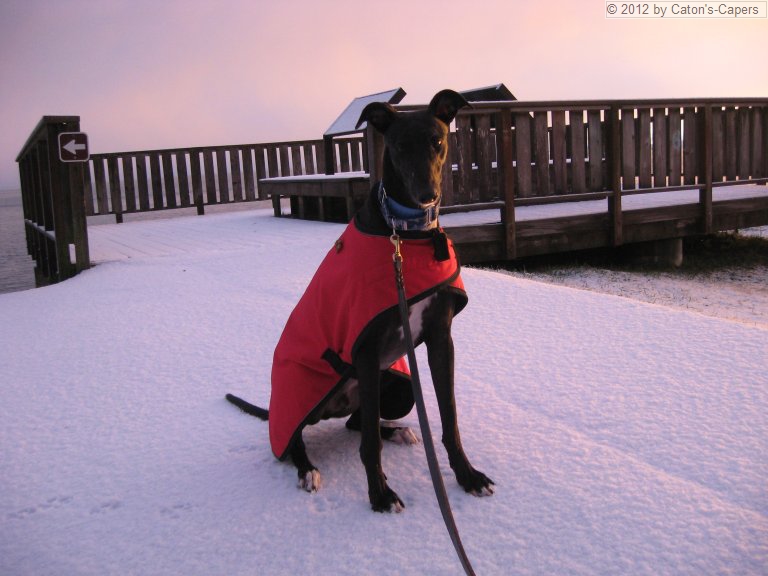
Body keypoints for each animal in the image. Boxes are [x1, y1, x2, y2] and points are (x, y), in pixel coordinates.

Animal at [226, 88, 492, 510]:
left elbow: (450, 420)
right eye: (399, 146)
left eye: (437, 141)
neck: (406, 234)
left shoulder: (440, 338)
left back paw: (396, 431)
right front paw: (379, 495)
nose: (426, 196)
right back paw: (308, 469)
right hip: (311, 401)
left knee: (357, 422)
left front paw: (467, 476)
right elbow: (368, 445)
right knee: (299, 441)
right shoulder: (365, 350)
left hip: (399, 389)